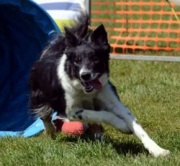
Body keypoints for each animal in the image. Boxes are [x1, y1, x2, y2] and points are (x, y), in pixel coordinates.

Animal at [28, 13, 169, 157]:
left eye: (95, 58)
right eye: (77, 60)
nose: (85, 75)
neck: (86, 91)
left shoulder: (113, 100)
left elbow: (137, 126)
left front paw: (157, 150)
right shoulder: (71, 111)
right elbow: (102, 114)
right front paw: (123, 126)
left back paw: (99, 137)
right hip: (39, 97)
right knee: (45, 117)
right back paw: (51, 131)